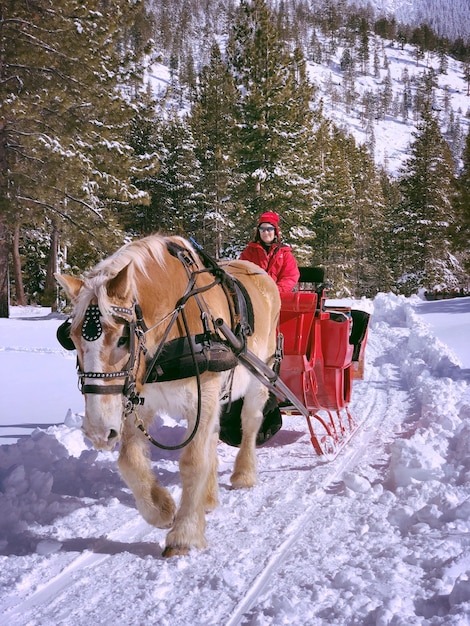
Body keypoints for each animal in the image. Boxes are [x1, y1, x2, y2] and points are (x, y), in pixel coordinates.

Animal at [55, 234, 280, 556]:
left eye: (122, 338)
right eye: (71, 338)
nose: (97, 432)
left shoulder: (203, 395)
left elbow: (193, 462)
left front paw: (184, 534)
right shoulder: (140, 399)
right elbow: (129, 460)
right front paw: (161, 510)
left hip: (259, 374)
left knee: (250, 423)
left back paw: (244, 475)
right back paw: (207, 498)